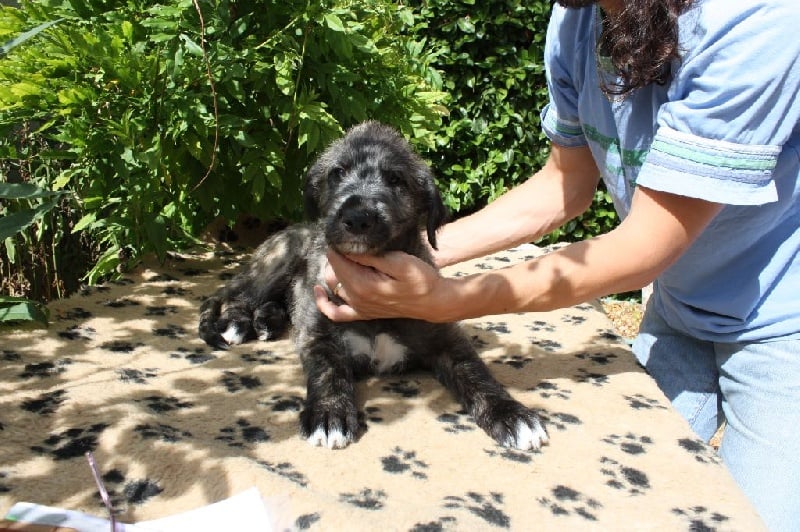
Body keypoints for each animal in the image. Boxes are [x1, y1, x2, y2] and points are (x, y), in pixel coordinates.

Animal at [200, 120, 552, 448]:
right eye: (337, 173)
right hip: (283, 256)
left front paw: (512, 414)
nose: (357, 218)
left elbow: (475, 371)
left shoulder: (447, 339)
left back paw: (266, 321)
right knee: (241, 297)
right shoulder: (318, 334)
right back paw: (238, 324)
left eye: (396, 179)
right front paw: (329, 414)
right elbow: (327, 369)